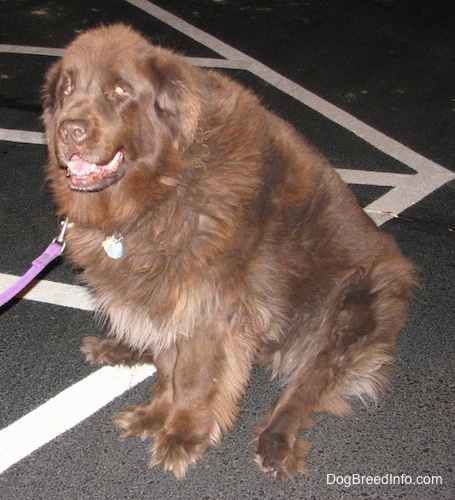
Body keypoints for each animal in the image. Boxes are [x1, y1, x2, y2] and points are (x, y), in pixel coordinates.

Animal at [41, 24, 414, 480]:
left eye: (119, 90)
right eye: (68, 88)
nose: (69, 130)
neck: (159, 193)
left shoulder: (212, 304)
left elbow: (194, 376)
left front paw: (182, 434)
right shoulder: (169, 293)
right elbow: (168, 362)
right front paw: (154, 413)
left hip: (357, 298)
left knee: (311, 382)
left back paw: (277, 439)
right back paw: (118, 346)